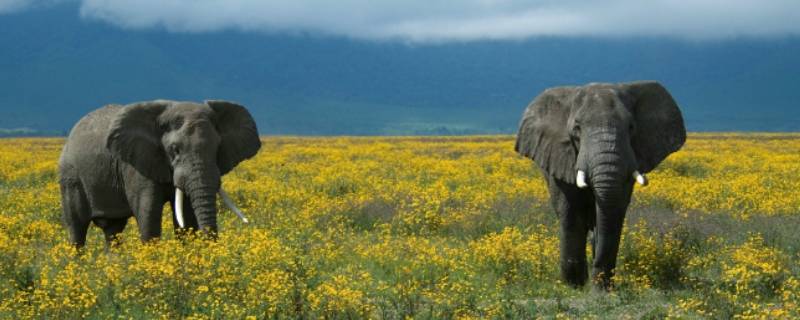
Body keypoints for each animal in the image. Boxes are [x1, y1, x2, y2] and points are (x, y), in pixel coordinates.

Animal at [59, 99, 260, 248]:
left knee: (113, 230)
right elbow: (148, 213)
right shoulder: (135, 163)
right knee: (77, 229)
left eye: (217, 149)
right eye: (175, 149)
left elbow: (186, 217)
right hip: (70, 177)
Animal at [516, 80, 684, 290]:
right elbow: (571, 212)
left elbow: (615, 212)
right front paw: (574, 286)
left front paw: (601, 288)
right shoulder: (561, 155)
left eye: (631, 127)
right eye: (577, 129)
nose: (598, 286)